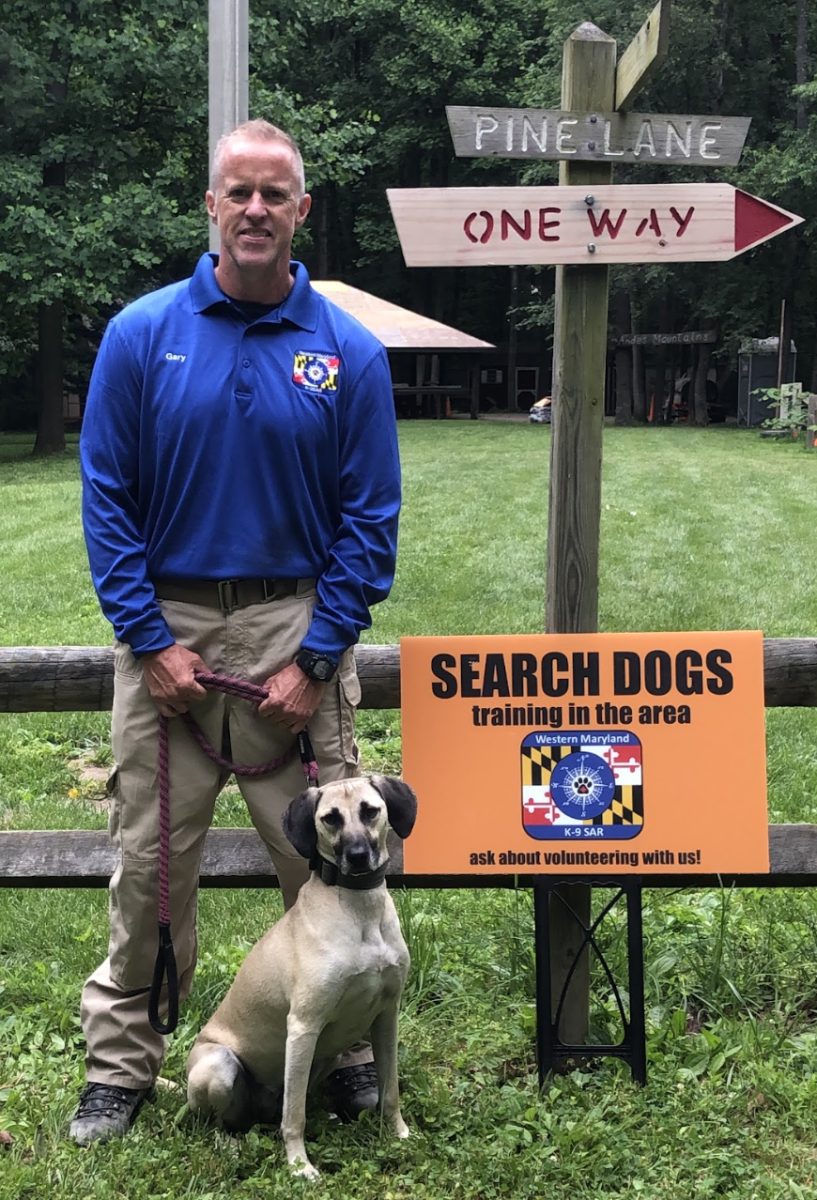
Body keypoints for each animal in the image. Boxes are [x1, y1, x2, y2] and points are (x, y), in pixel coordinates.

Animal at [183, 772, 415, 1176]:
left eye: (370, 811)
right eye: (330, 818)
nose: (357, 857)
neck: (359, 913)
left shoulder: (386, 1017)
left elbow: (391, 1091)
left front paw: (398, 1132)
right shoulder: (304, 1026)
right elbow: (294, 1117)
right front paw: (298, 1165)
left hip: (327, 1057)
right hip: (220, 1065)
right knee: (220, 1123)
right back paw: (230, 1144)